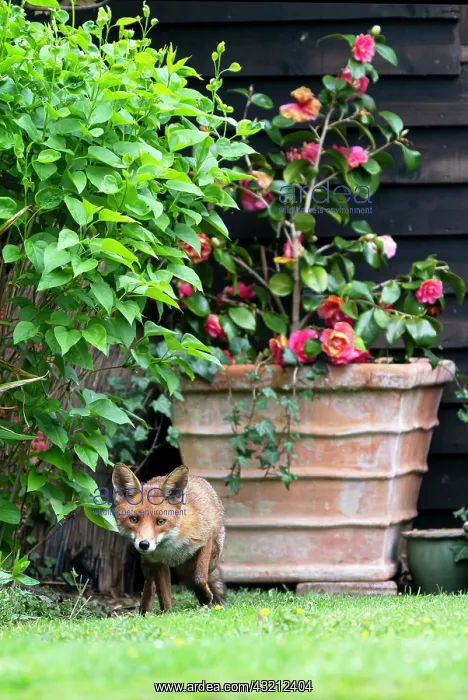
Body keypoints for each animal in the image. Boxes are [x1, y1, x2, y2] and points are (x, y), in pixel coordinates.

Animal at [112, 462, 226, 614]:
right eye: (134, 519)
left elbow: (199, 578)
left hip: (212, 558)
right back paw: (144, 611)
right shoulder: (158, 563)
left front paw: (205, 598)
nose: (144, 544)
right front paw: (168, 615)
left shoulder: (204, 541)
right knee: (150, 584)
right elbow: (164, 595)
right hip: (147, 565)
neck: (172, 547)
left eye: (160, 521)